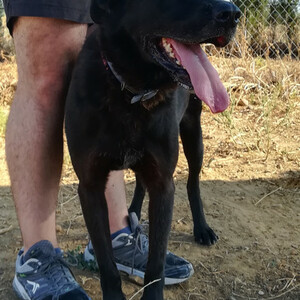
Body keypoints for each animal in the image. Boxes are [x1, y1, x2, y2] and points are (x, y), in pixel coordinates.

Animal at [64, 0, 240, 300]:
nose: (233, 14)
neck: (130, 92)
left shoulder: (163, 183)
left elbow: (156, 262)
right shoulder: (90, 186)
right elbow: (106, 261)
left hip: (193, 136)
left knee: (193, 182)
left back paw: (202, 228)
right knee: (139, 184)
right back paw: (133, 211)